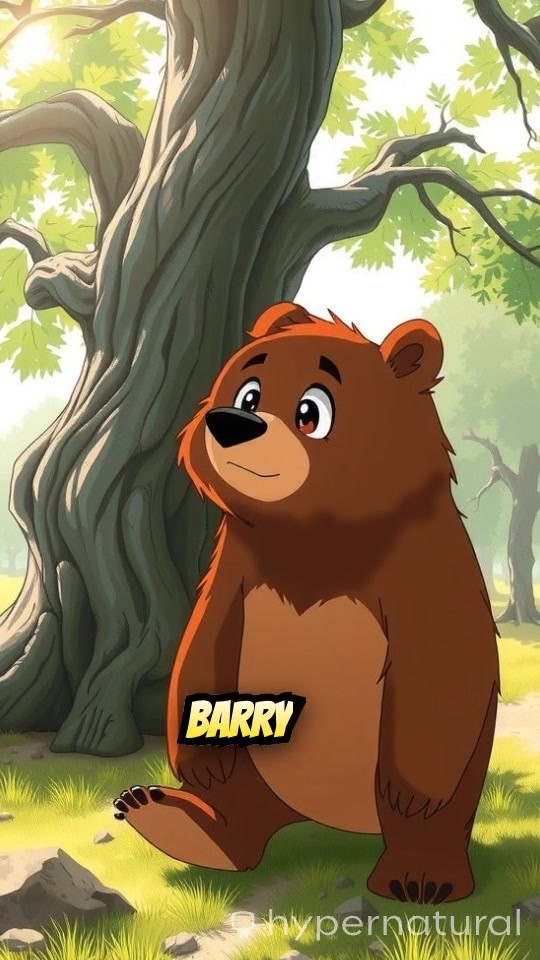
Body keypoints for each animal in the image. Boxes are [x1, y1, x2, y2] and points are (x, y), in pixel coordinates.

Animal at [114, 301, 499, 904]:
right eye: (249, 392)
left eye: (311, 411)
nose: (232, 422)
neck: (311, 535)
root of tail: (330, 819)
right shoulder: (235, 569)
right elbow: (204, 642)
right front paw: (194, 764)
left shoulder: (426, 569)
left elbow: (442, 672)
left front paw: (414, 793)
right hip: (254, 764)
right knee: (239, 805)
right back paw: (174, 820)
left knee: (429, 820)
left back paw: (421, 876)